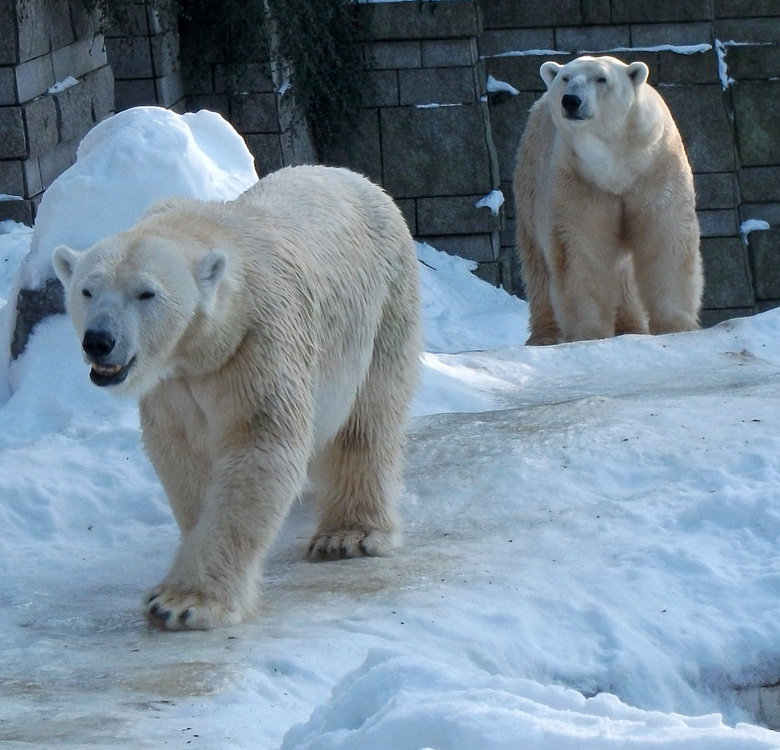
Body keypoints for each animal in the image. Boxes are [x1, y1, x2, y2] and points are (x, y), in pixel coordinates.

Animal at [51, 166, 420, 636]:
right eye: (87, 290)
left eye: (146, 293)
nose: (99, 340)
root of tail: (359, 179)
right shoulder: (173, 384)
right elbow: (181, 455)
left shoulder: (256, 341)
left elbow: (258, 445)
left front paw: (182, 603)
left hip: (382, 306)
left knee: (368, 419)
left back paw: (348, 535)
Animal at [516, 54, 704, 346]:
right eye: (565, 78)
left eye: (601, 78)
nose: (571, 100)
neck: (615, 160)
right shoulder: (578, 178)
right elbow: (580, 248)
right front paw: (588, 332)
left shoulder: (655, 166)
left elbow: (665, 235)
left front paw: (678, 325)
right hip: (531, 179)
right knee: (538, 265)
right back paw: (544, 336)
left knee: (624, 272)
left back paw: (632, 326)